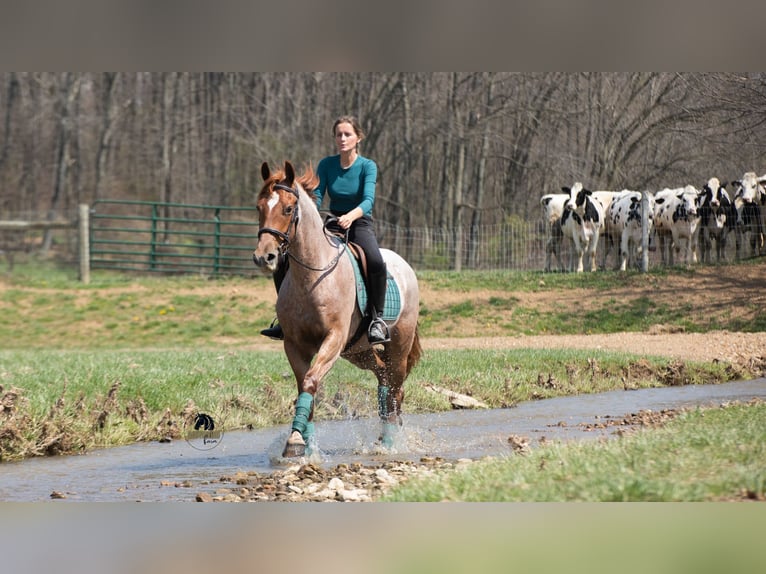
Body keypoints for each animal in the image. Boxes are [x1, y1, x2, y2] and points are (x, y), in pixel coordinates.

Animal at [252, 161, 422, 458]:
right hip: (357, 351)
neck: (312, 276)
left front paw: (296, 440)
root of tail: (404, 265)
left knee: (395, 386)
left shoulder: (333, 339)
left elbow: (310, 382)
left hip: (398, 346)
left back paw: (390, 441)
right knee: (383, 376)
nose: (265, 257)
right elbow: (304, 386)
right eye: (259, 207)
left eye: (288, 209)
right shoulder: (294, 344)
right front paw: (303, 442)